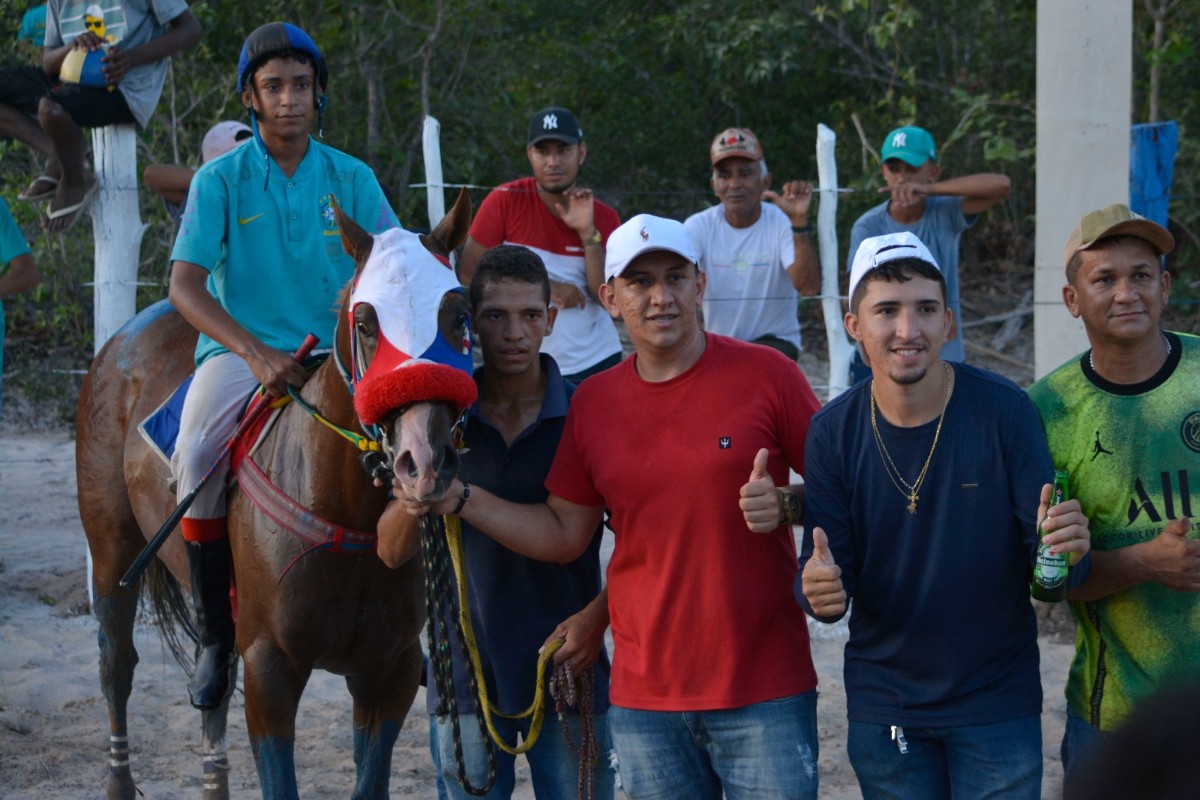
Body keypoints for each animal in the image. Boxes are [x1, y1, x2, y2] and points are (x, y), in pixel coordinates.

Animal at [73, 189, 477, 800]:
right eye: (365, 322)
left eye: (458, 317)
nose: (424, 462)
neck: (340, 510)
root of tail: (122, 338)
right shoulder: (272, 669)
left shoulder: (390, 671)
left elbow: (369, 780)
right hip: (112, 554)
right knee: (116, 662)